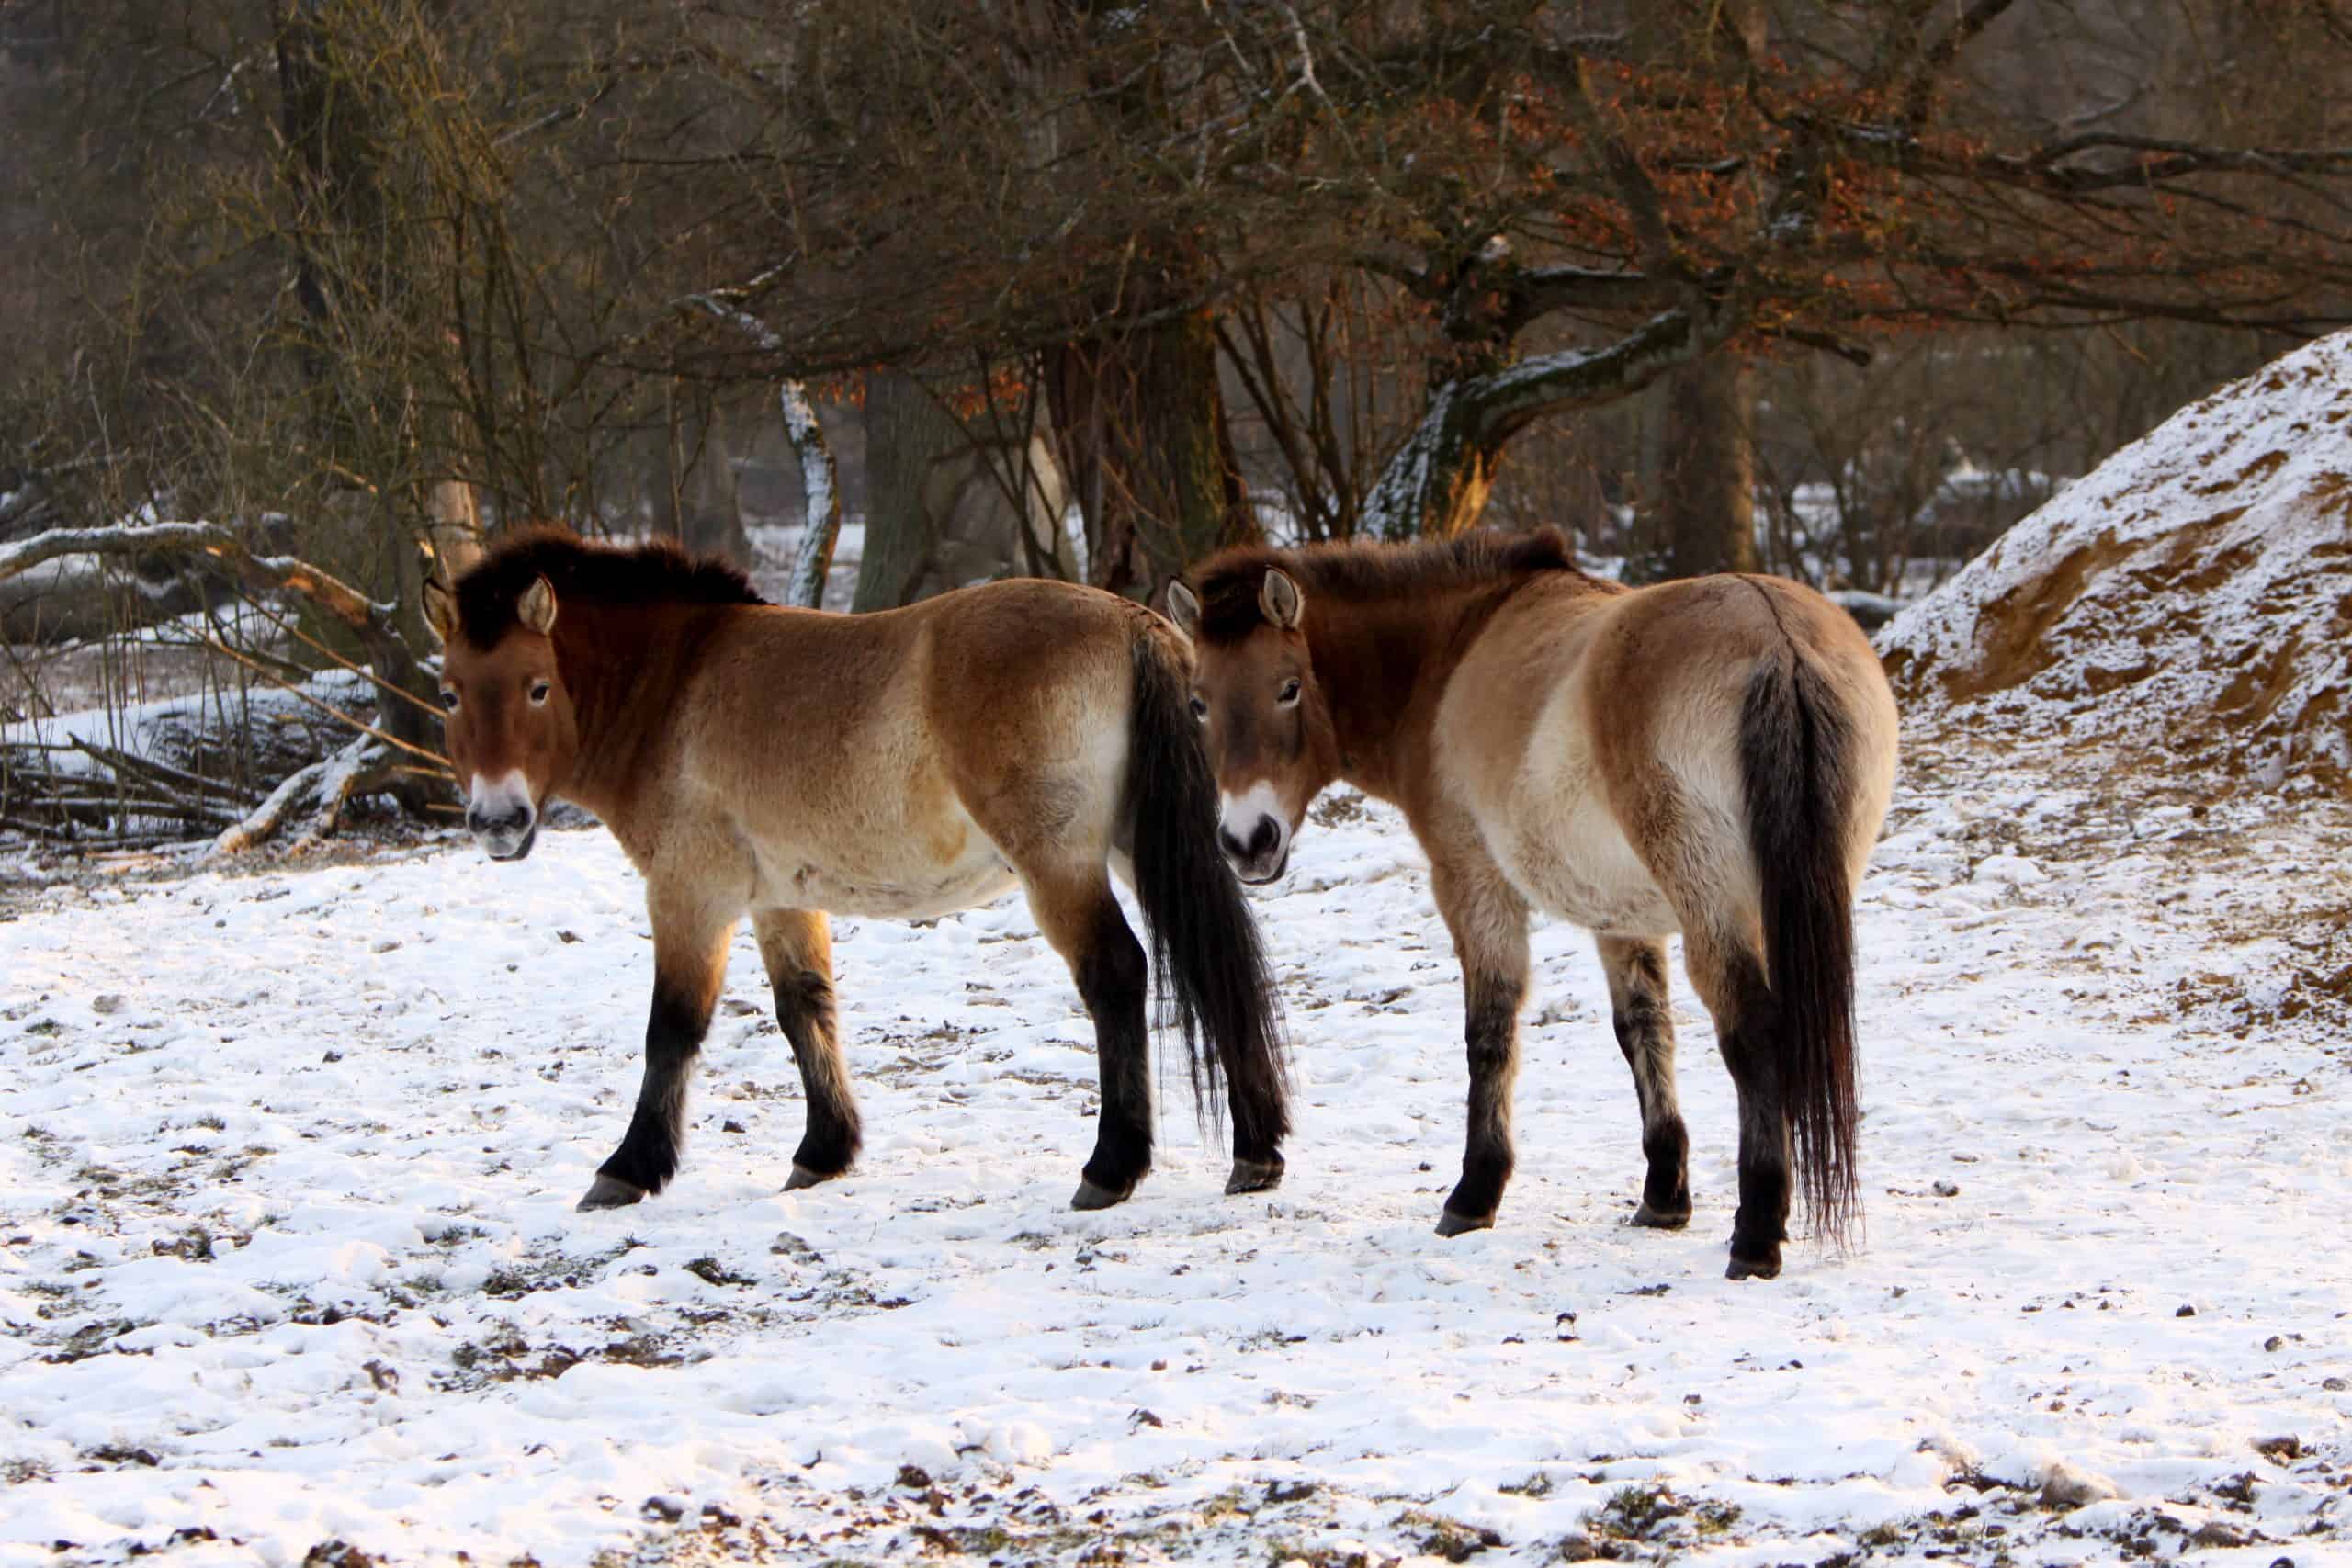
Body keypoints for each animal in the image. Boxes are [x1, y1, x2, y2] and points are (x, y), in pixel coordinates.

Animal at [433, 526, 1298, 1213]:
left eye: (536, 687)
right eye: (451, 692)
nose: (498, 821)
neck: (676, 682)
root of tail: (1132, 625)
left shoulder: (690, 894)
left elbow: (671, 1029)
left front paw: (628, 1168)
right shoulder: (778, 899)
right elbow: (805, 1009)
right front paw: (824, 1150)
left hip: (1059, 863)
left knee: (1118, 972)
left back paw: (1111, 1167)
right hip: (1142, 844)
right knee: (1213, 960)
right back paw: (1256, 1152)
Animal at [1166, 526, 1900, 1279]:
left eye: (1288, 689)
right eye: (1199, 703)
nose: (1248, 840)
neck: (1450, 650)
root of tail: (1777, 639)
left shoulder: (1472, 884)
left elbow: (1489, 1035)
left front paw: (1473, 1193)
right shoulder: (1621, 915)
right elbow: (1644, 1031)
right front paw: (1664, 1194)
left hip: (1716, 908)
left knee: (1753, 1032)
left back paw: (1756, 1234)